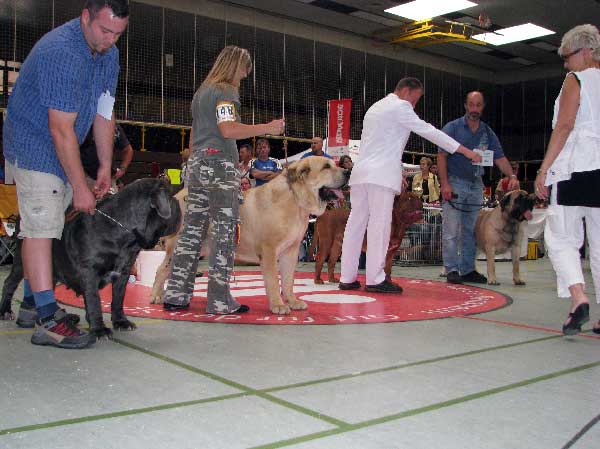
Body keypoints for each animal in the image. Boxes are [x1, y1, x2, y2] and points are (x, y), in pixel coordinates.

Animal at [1, 178, 182, 336]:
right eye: (172, 197)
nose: (180, 204)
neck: (123, 233)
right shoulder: (89, 272)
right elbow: (94, 300)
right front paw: (99, 329)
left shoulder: (123, 273)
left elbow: (118, 298)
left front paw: (120, 321)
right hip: (22, 261)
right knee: (10, 282)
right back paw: (6, 311)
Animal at [151, 156, 346, 314]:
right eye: (326, 167)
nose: (347, 171)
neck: (295, 198)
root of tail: (176, 196)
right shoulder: (269, 250)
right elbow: (274, 280)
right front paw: (278, 305)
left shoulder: (290, 251)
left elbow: (288, 280)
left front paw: (292, 301)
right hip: (181, 244)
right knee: (161, 270)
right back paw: (156, 297)